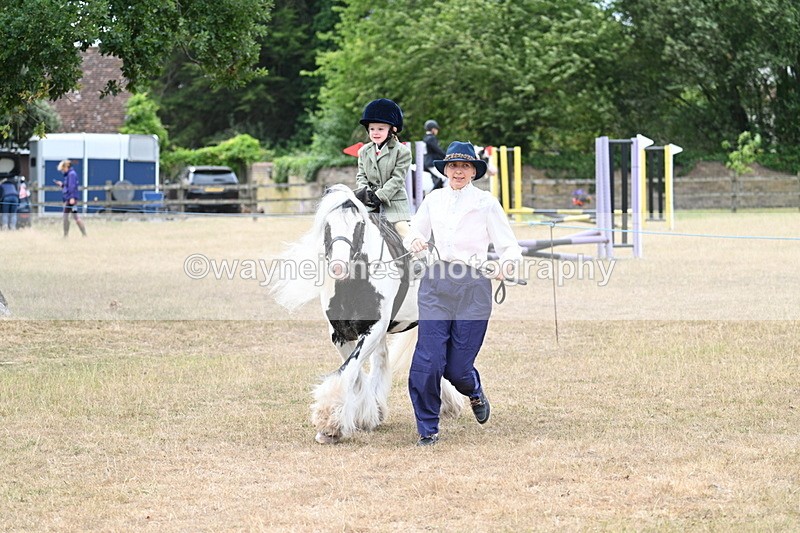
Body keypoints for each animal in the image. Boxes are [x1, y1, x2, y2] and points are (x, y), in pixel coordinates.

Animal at [270, 184, 463, 444]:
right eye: (327, 224)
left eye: (359, 224)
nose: (338, 267)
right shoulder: (341, 334)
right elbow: (354, 372)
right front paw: (367, 414)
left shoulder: (373, 329)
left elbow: (349, 370)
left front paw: (329, 422)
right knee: (382, 358)